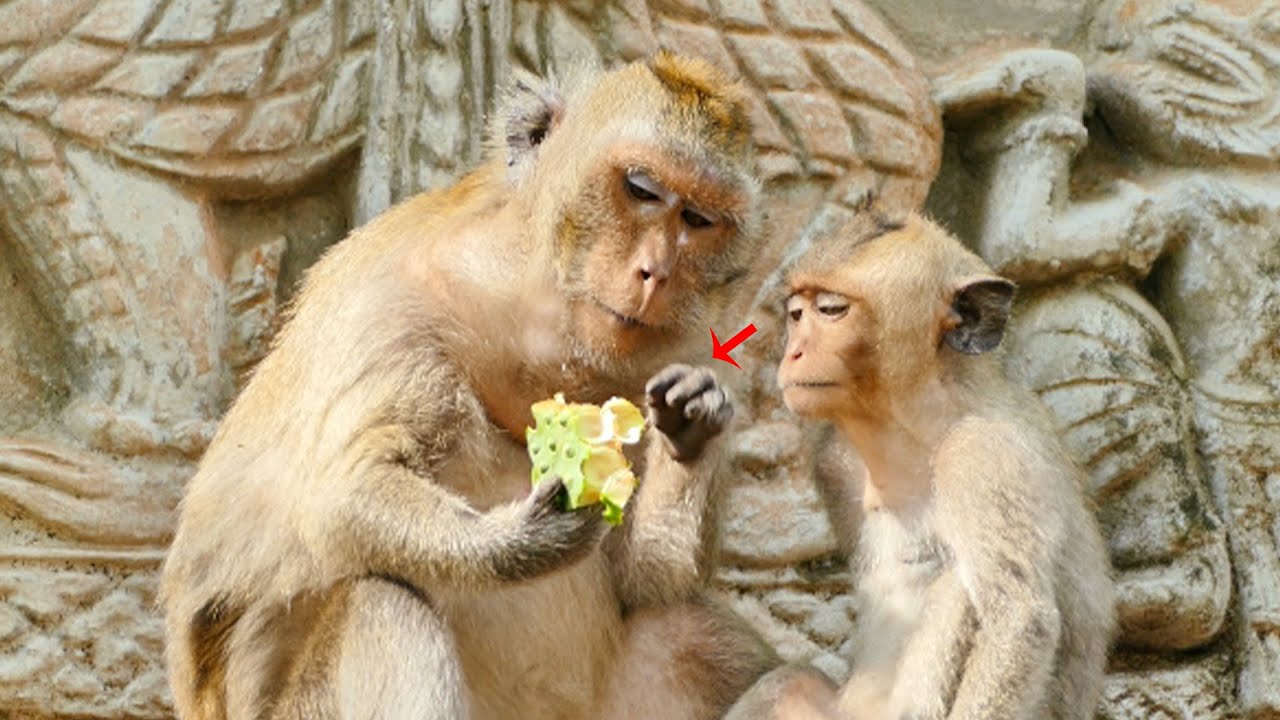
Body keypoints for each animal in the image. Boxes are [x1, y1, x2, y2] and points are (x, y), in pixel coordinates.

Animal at [159, 52, 779, 720]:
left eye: (699, 219)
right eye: (641, 189)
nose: (655, 274)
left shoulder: (680, 347)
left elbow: (647, 580)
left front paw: (694, 425)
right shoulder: (393, 299)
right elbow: (340, 493)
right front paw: (519, 539)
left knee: (702, 639)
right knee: (381, 603)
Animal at [726, 212, 1115, 720]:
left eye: (831, 310)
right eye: (797, 315)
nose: (793, 352)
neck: (917, 428)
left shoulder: (983, 455)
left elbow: (1019, 621)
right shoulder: (834, 458)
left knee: (959, 592)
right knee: (788, 684)